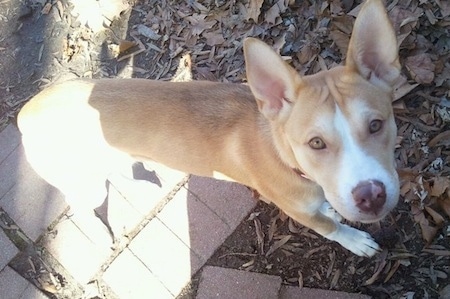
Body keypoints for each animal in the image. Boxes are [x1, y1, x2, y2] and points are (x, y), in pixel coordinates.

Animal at [16, 0, 400, 258]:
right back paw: (98, 228)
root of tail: (27, 110)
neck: (284, 156)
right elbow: (329, 227)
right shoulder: (296, 210)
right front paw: (352, 239)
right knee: (81, 202)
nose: (371, 196)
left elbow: (327, 208)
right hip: (83, 182)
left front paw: (333, 209)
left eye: (376, 125)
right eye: (316, 143)